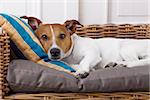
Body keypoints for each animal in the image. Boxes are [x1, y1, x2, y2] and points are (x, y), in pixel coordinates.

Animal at [22, 16, 150, 78]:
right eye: (44, 37)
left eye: (62, 35)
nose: (55, 52)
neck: (71, 54)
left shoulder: (93, 54)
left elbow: (83, 62)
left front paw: (82, 70)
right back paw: (114, 64)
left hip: (126, 49)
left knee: (136, 61)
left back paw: (121, 64)